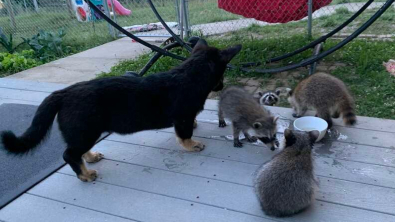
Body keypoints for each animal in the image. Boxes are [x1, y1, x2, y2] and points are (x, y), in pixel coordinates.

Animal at [0, 40, 241, 182]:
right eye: (222, 74)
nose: (220, 86)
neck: (191, 73)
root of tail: (63, 93)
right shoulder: (182, 118)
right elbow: (185, 135)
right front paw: (192, 145)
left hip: (83, 134)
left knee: (76, 152)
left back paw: (91, 158)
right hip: (86, 132)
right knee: (68, 154)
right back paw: (85, 175)